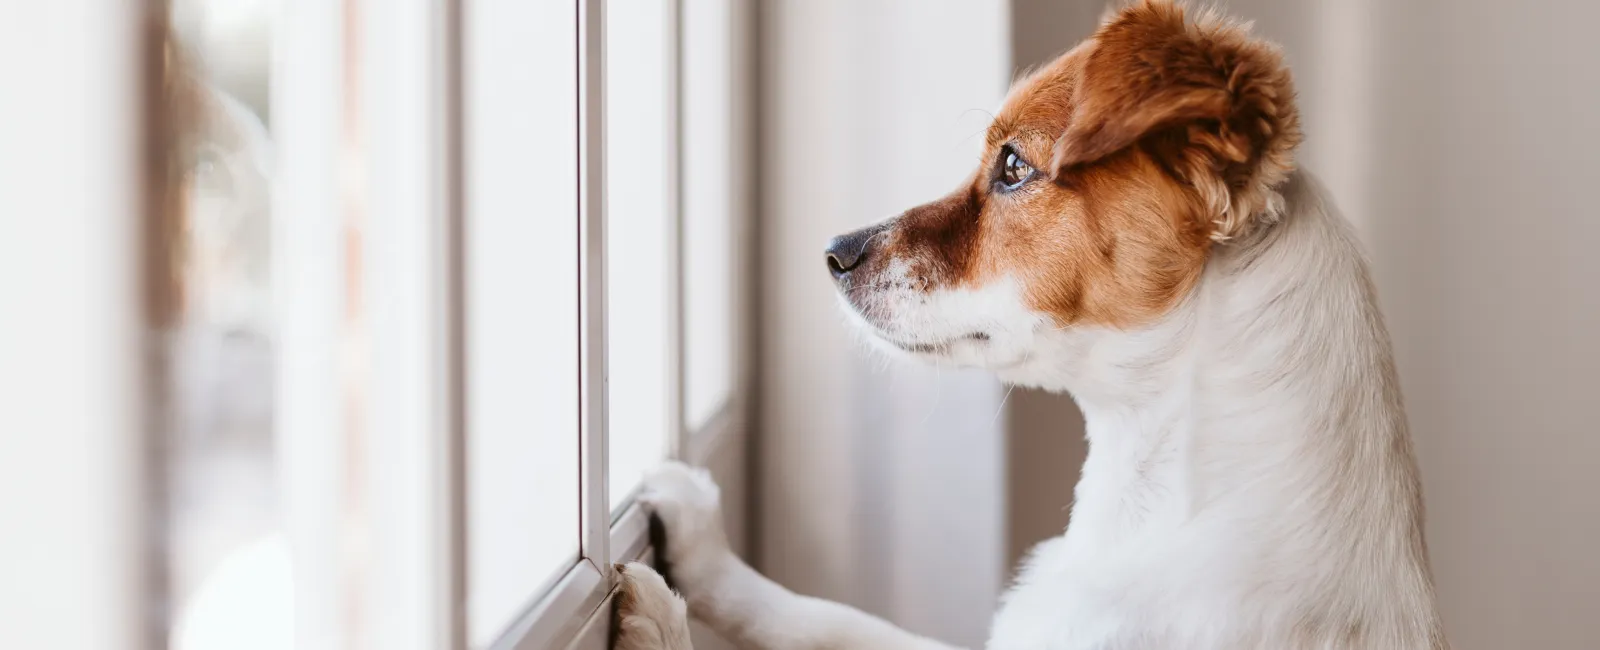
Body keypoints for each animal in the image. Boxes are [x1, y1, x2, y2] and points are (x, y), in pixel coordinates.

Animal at [611, 2, 1452, 646]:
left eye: (1014, 167)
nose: (834, 252)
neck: (1155, 500)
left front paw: (660, 619)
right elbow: (833, 620)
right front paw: (705, 549)